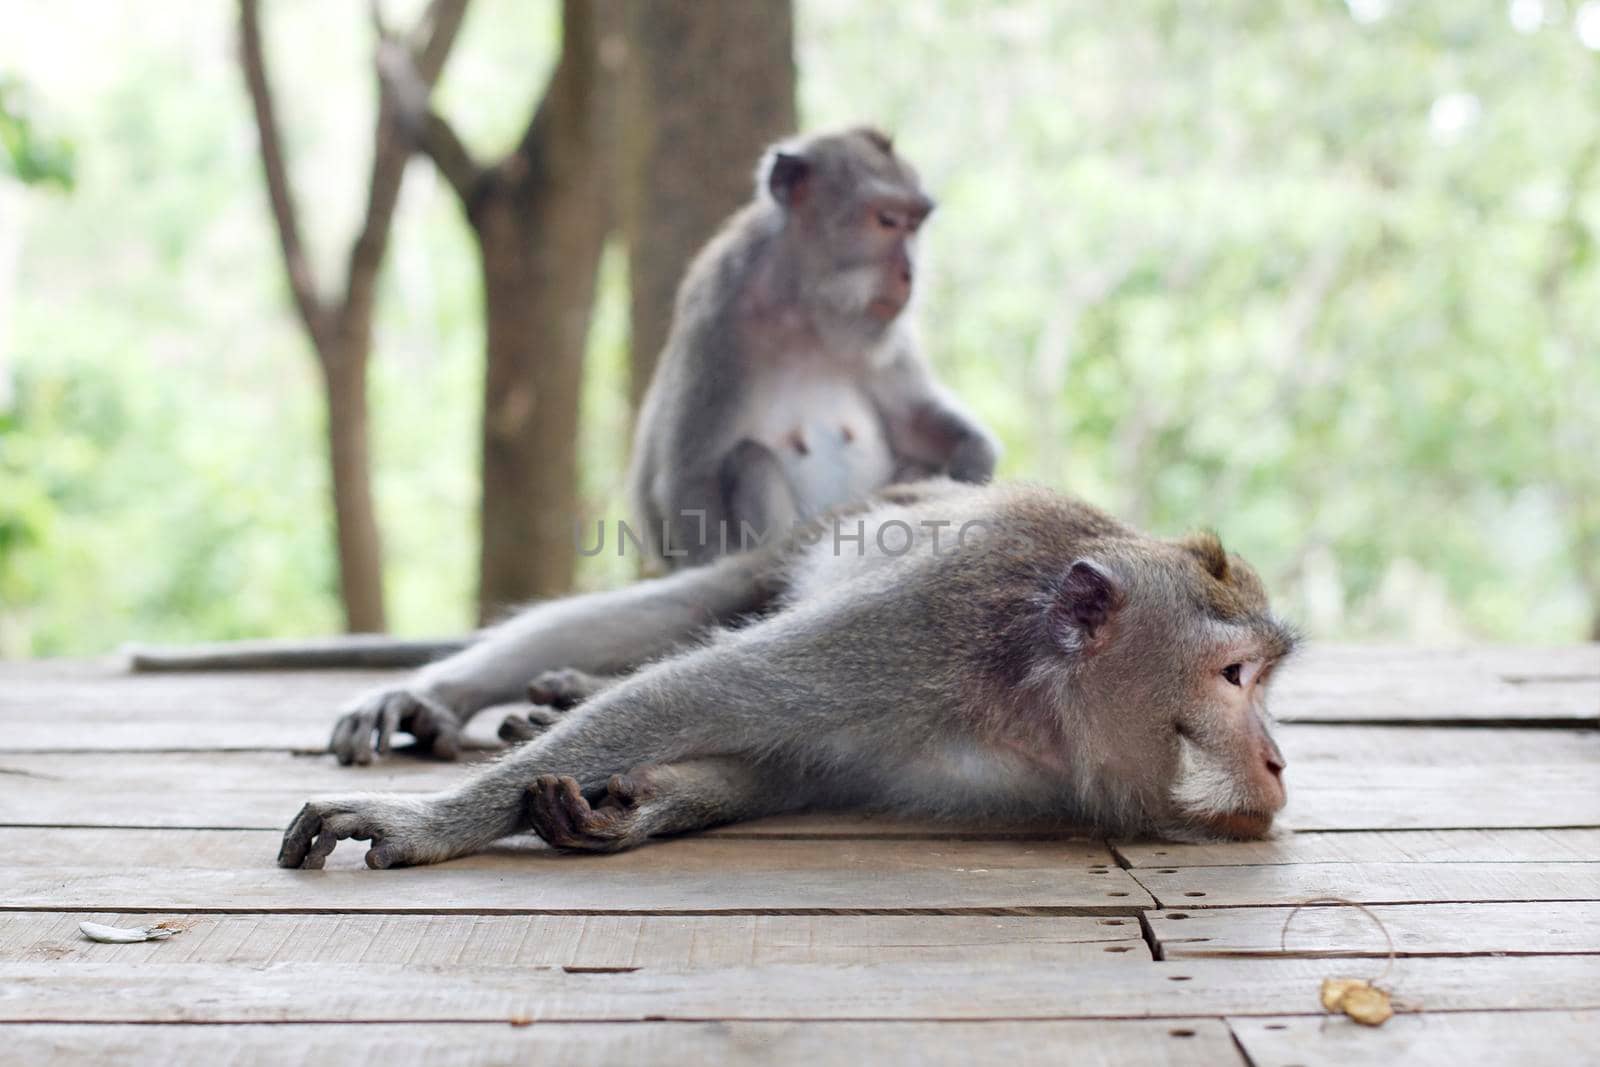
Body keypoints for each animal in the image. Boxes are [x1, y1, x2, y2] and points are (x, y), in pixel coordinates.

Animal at [278, 479, 1299, 870]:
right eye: (1234, 675)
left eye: (1263, 681)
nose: (1279, 761)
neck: (1035, 702)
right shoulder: (923, 625)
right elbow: (699, 690)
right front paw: (427, 826)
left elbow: (791, 768)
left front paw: (633, 806)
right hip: (817, 534)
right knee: (694, 609)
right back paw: (442, 692)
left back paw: (557, 702)